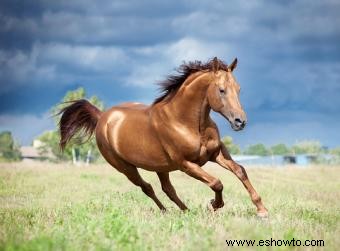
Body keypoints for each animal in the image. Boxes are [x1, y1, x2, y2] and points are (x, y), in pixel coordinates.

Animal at [59, 57, 270, 218]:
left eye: (239, 89)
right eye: (221, 90)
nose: (240, 122)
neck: (185, 121)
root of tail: (103, 116)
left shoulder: (216, 153)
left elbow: (240, 171)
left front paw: (262, 210)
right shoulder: (186, 164)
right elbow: (216, 182)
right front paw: (213, 205)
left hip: (161, 167)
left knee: (167, 189)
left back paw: (186, 211)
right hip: (126, 168)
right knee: (147, 188)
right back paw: (167, 211)